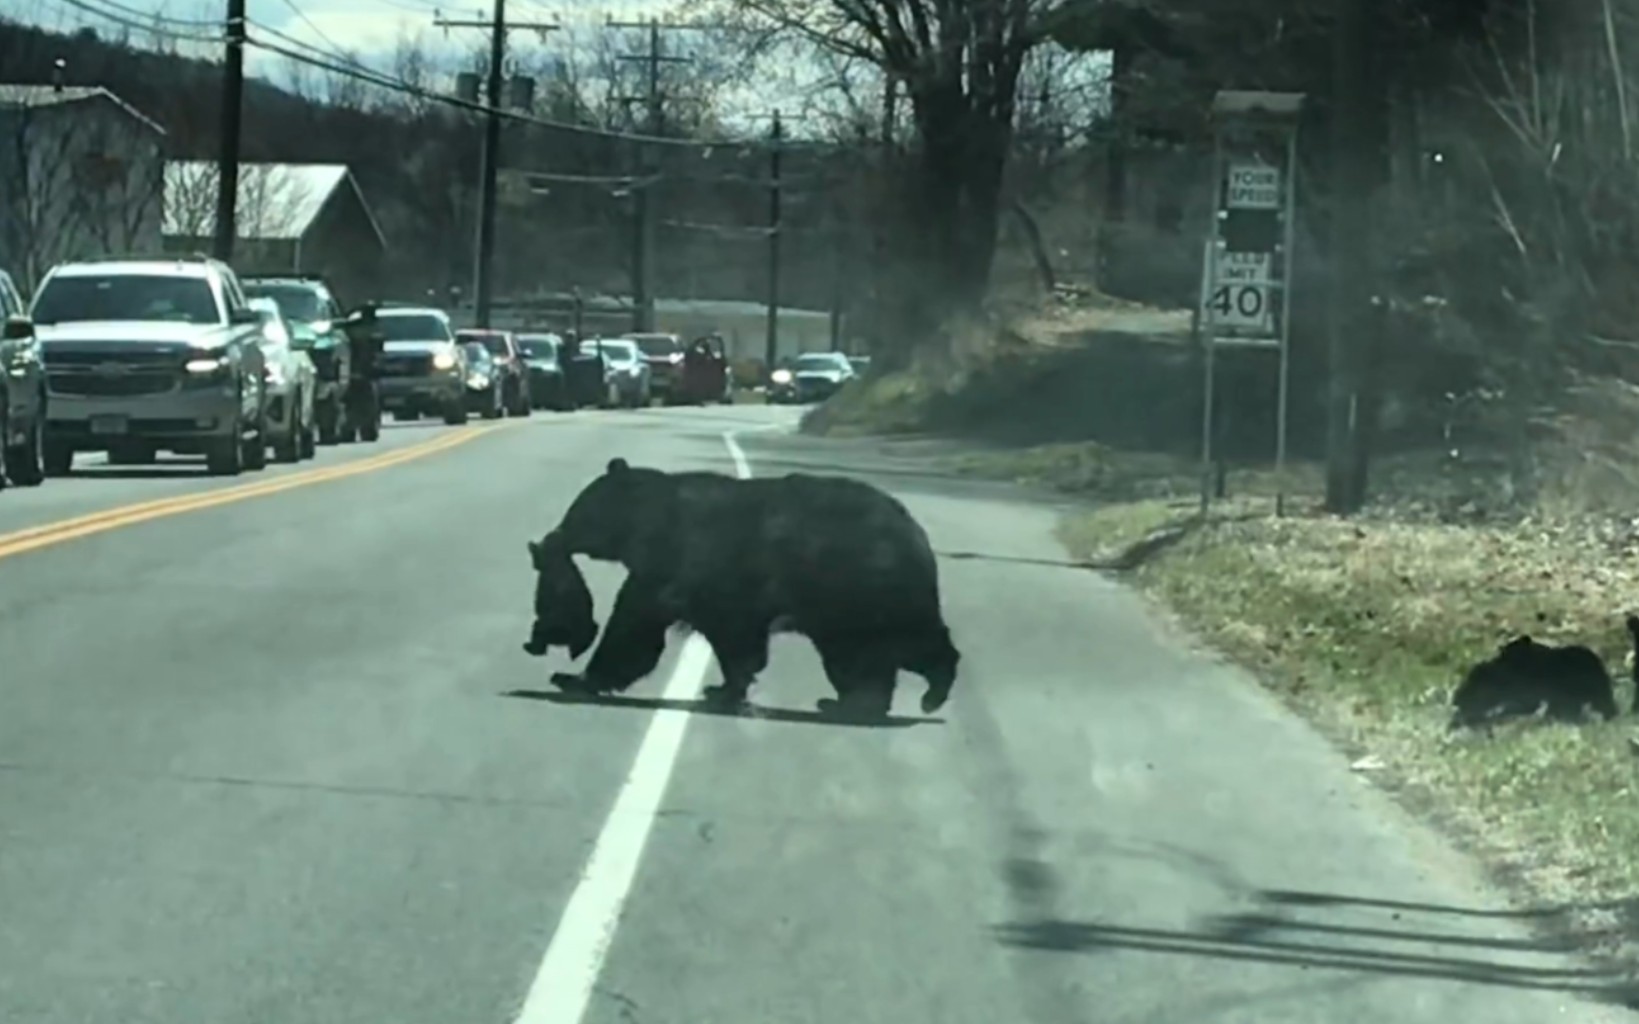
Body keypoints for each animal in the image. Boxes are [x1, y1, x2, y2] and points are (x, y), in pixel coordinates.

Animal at [521, 530, 599, 658]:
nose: (534, 565)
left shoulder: (545, 577)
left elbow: (540, 604)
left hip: (551, 627)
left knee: (539, 630)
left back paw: (532, 648)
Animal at [534, 458, 957, 714]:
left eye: (576, 511)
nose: (553, 537)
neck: (649, 524)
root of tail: (917, 532)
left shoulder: (684, 562)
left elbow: (635, 624)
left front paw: (574, 678)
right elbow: (732, 639)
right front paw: (725, 688)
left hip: (863, 588)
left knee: (907, 642)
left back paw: (930, 692)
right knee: (861, 655)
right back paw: (852, 702)